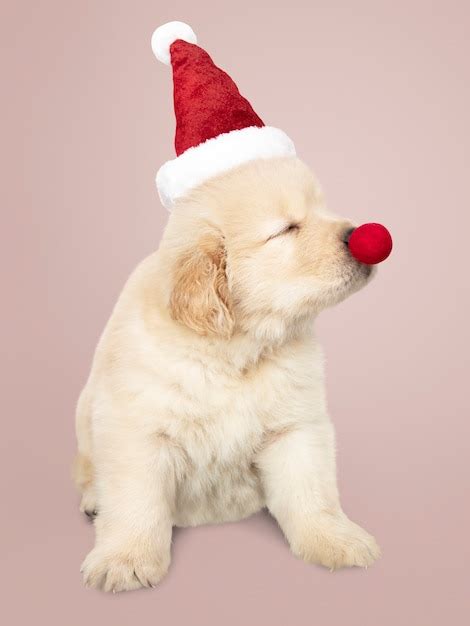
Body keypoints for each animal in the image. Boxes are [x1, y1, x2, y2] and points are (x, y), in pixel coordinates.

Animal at [74, 156, 382, 588]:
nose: (360, 235)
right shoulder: (136, 430)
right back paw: (92, 500)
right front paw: (126, 560)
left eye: (322, 208)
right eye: (286, 229)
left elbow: (312, 492)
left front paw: (335, 540)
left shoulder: (296, 428)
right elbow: (136, 500)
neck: (233, 351)